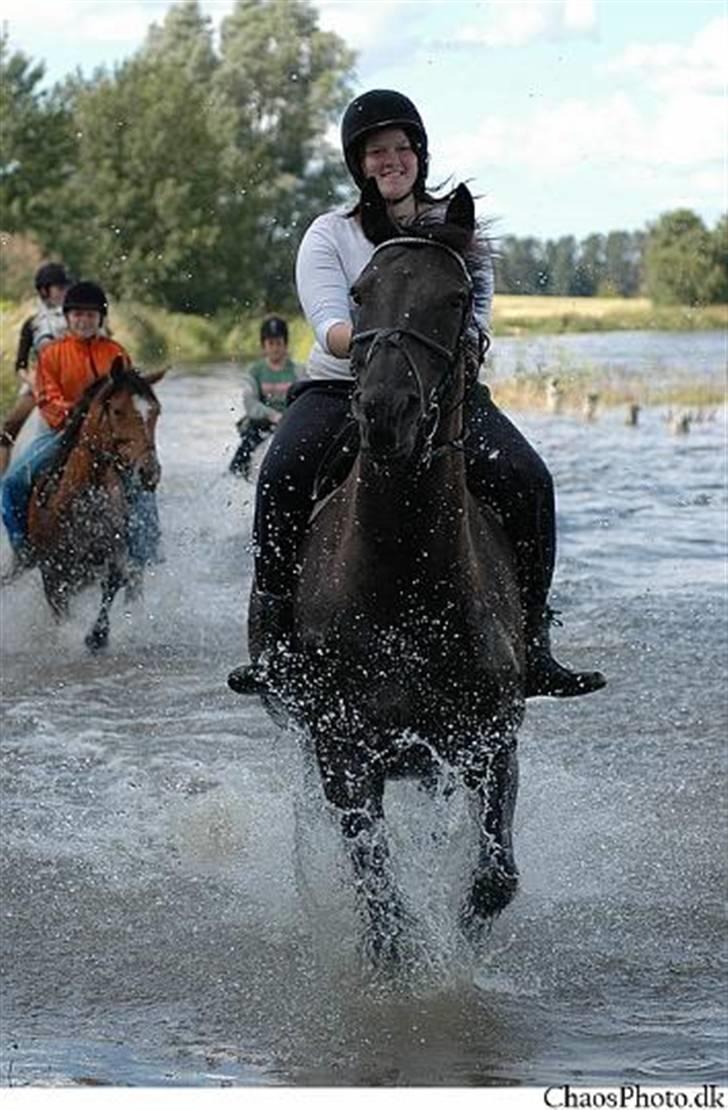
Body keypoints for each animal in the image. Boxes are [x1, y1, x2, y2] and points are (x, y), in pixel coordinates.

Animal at [27, 355, 160, 648]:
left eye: (156, 412)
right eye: (118, 411)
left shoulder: (116, 553)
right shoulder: (51, 573)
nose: (150, 473)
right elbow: (60, 610)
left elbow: (114, 579)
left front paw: (97, 635)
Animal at [250, 182, 523, 963]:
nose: (384, 413)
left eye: (457, 298)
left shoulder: (492, 741)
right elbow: (376, 888)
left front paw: (459, 948)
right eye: (359, 293)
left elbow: (494, 877)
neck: (406, 576)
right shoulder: (342, 749)